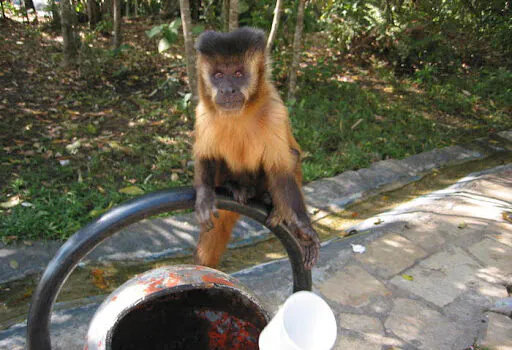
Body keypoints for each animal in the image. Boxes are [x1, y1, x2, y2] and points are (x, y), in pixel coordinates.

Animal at [193, 27, 318, 270]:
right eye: (219, 75)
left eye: (238, 74)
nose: (227, 89)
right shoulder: (202, 112)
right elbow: (206, 156)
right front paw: (204, 196)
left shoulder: (275, 110)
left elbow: (281, 169)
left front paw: (302, 227)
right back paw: (235, 187)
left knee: (292, 156)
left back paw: (272, 204)